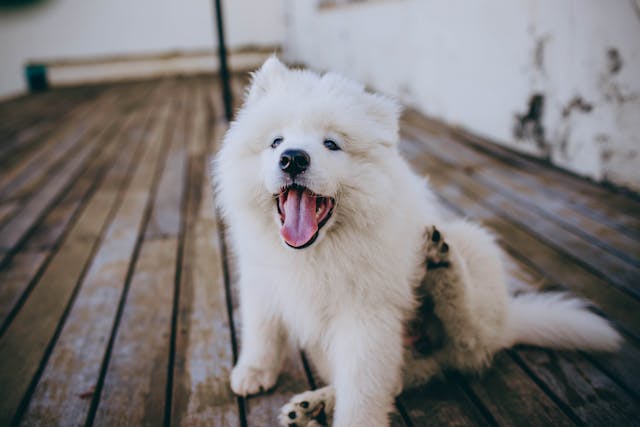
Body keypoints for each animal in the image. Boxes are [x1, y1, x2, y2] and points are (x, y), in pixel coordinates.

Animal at [212, 57, 624, 427]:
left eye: (331, 144)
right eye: (276, 141)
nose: (293, 158)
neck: (316, 251)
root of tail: (508, 322)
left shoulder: (366, 316)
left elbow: (362, 393)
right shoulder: (262, 280)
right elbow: (262, 330)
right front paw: (253, 372)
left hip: (475, 245)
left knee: (470, 337)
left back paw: (441, 263)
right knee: (398, 381)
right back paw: (312, 405)